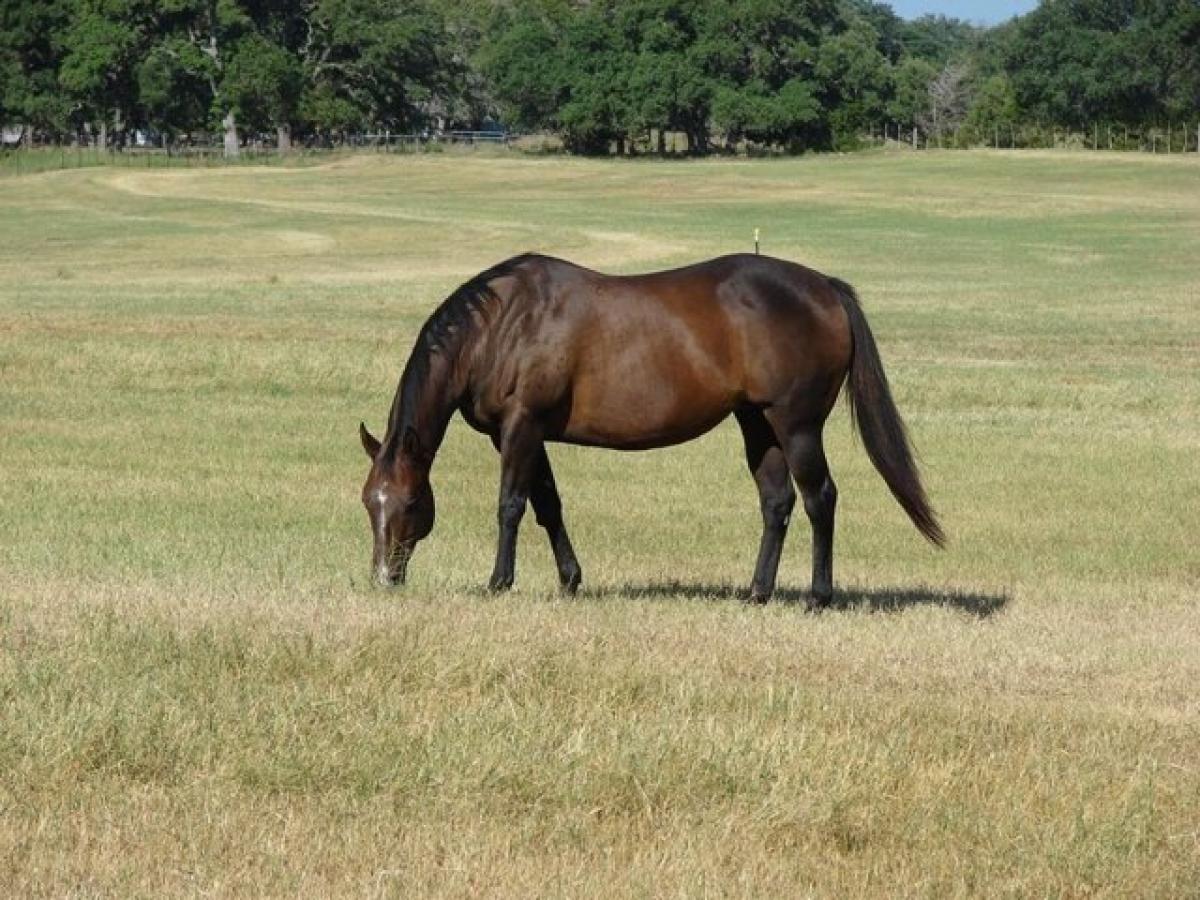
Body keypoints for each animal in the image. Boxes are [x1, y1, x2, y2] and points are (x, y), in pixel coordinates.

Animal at [360, 252, 940, 607]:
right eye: (370, 503)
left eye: (412, 502)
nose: (385, 577)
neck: (504, 323)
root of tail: (826, 288)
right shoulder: (526, 433)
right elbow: (549, 506)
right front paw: (570, 581)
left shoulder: (521, 426)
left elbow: (512, 506)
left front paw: (499, 582)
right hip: (758, 423)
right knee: (778, 503)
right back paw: (757, 592)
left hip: (796, 425)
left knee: (821, 498)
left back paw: (819, 597)